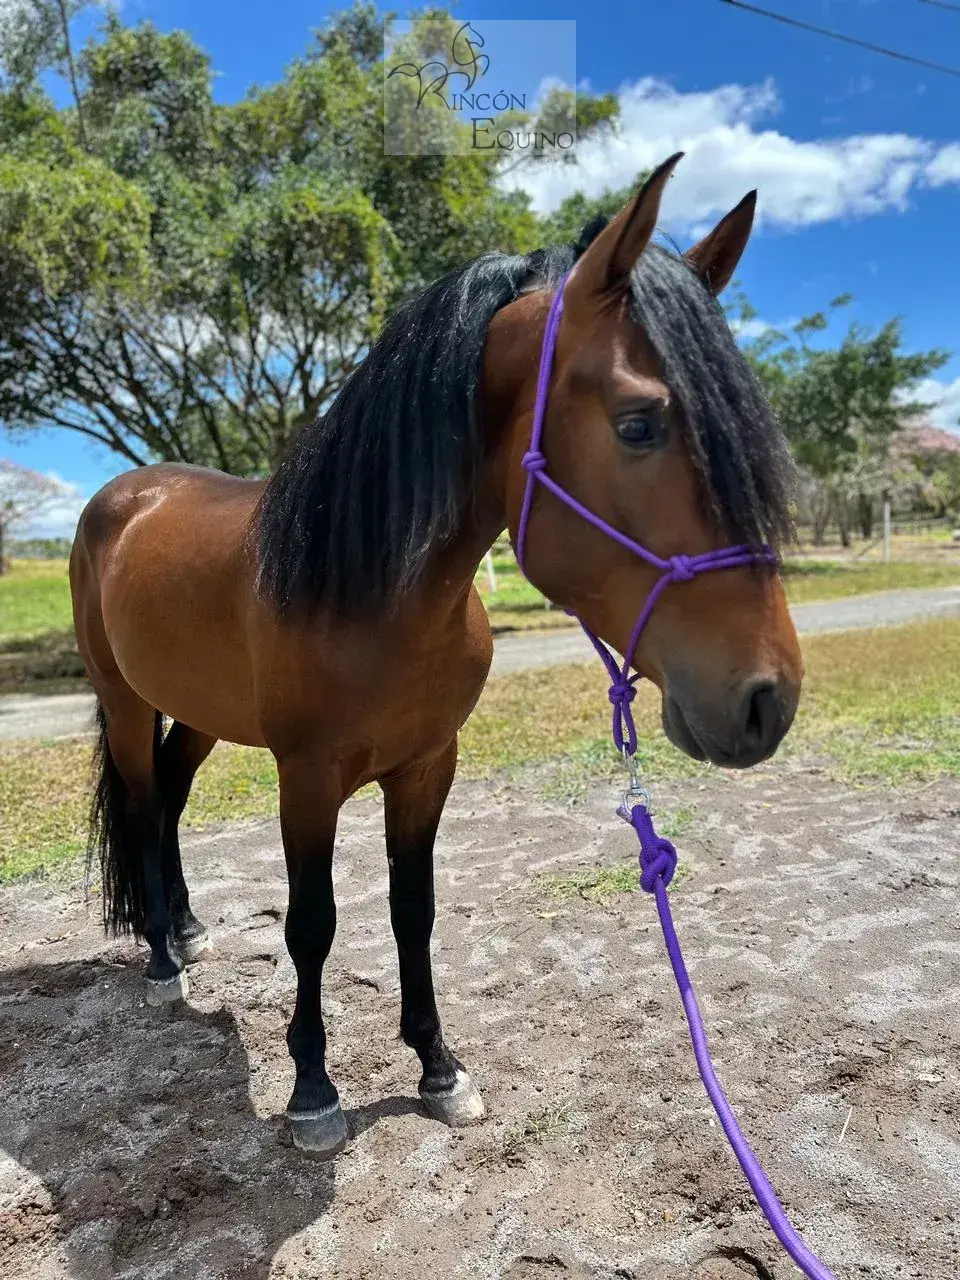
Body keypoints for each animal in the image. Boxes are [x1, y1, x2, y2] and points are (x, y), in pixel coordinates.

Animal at [70, 153, 803, 1159]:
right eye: (639, 423)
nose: (768, 699)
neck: (373, 588)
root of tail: (125, 496)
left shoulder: (427, 766)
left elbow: (411, 909)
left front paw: (438, 1067)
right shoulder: (307, 778)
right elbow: (313, 923)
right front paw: (313, 1089)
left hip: (201, 713)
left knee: (174, 800)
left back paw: (184, 930)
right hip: (127, 703)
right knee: (146, 812)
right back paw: (158, 962)